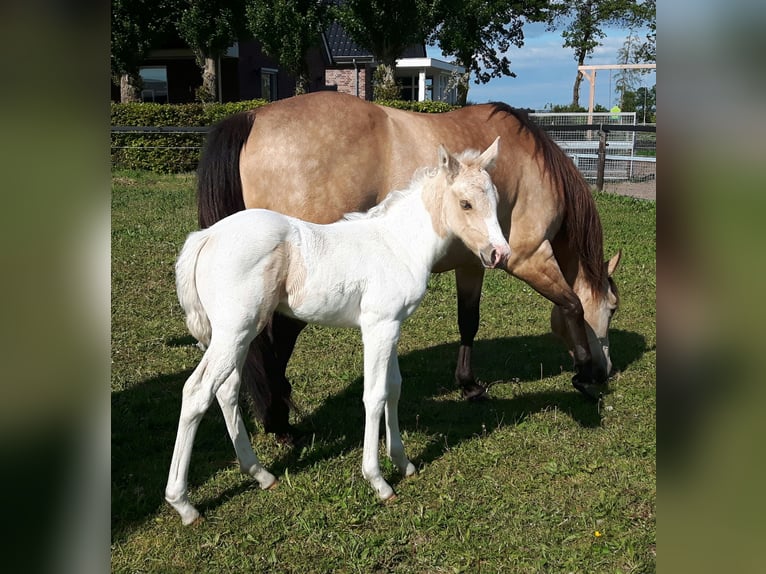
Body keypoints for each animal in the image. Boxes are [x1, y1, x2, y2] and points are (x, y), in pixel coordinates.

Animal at [166, 140, 510, 525]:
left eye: (495, 198)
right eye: (466, 203)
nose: (499, 253)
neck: (398, 244)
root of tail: (207, 235)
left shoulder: (392, 326)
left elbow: (393, 388)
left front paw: (403, 463)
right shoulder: (378, 326)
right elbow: (374, 395)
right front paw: (378, 481)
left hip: (240, 334)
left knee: (226, 390)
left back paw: (261, 474)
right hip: (232, 333)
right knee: (197, 392)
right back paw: (184, 504)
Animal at [197, 91, 621, 442]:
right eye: (613, 309)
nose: (606, 370)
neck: (530, 162)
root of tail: (253, 116)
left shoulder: (474, 263)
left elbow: (469, 321)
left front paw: (469, 384)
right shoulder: (527, 256)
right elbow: (572, 305)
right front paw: (583, 376)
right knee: (279, 338)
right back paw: (278, 421)